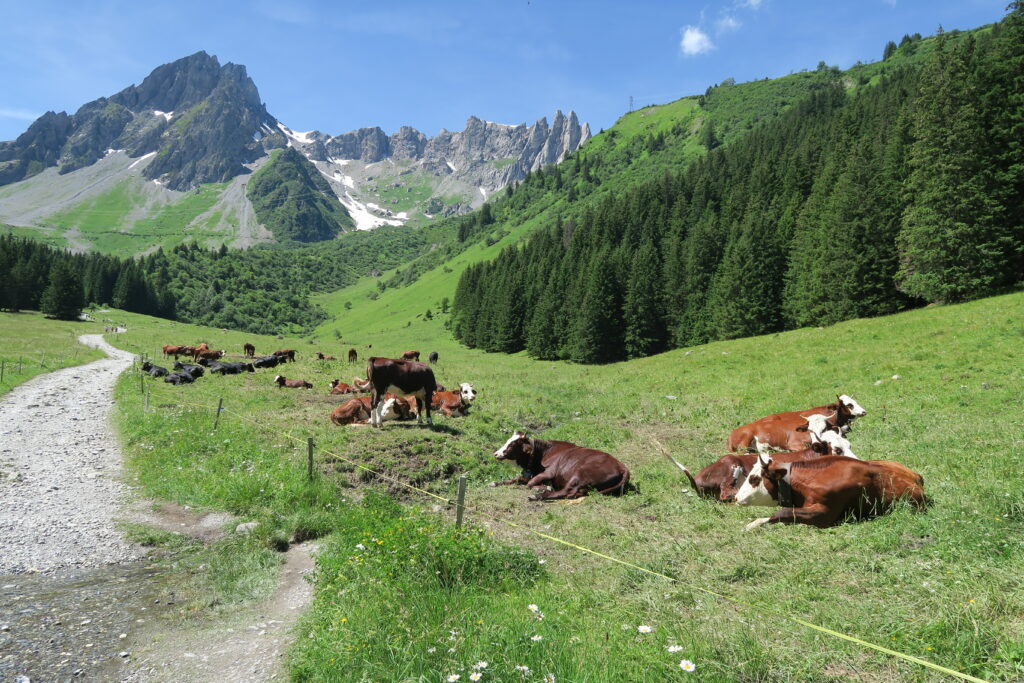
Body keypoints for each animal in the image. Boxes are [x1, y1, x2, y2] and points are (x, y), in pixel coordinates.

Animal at [490, 432, 631, 501]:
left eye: (512, 445)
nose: (496, 453)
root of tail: (622, 467)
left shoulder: (548, 473)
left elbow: (530, 484)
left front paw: (544, 487)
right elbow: (516, 479)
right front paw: (495, 483)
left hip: (580, 474)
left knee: (566, 491)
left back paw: (538, 496)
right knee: (574, 493)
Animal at [736, 453, 927, 529]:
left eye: (754, 478)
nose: (736, 497)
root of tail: (916, 477)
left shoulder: (825, 514)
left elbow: (783, 512)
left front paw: (751, 525)